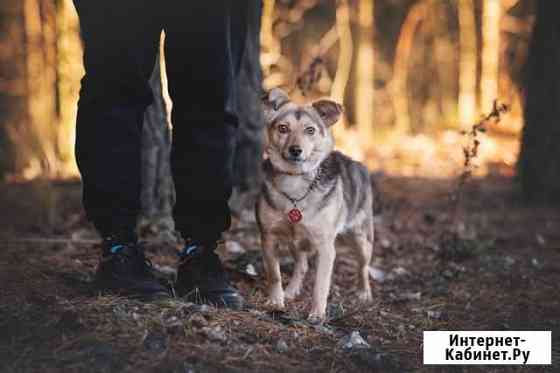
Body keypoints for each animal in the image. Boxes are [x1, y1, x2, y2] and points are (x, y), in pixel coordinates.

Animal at [256, 88, 374, 322]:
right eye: (283, 128)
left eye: (310, 130)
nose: (295, 150)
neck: (295, 183)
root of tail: (358, 164)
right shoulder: (268, 237)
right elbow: (274, 275)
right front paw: (276, 301)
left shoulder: (325, 246)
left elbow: (321, 284)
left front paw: (317, 314)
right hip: (296, 241)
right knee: (301, 265)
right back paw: (291, 290)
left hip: (362, 237)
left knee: (363, 266)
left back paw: (364, 293)